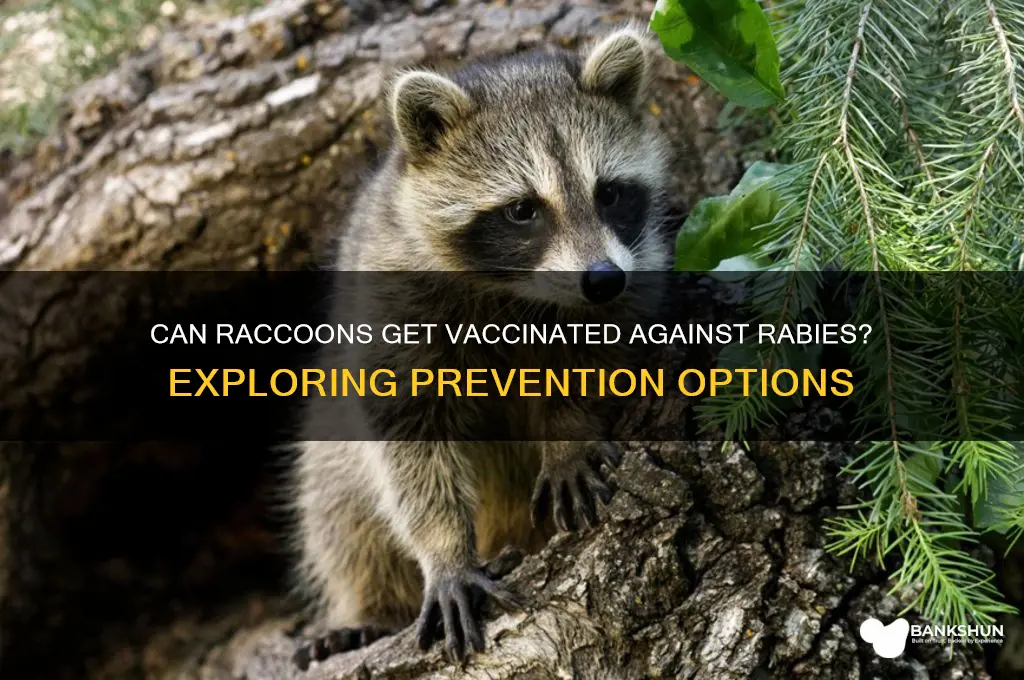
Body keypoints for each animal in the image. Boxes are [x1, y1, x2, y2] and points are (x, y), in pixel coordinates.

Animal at [292, 25, 673, 668]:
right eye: (523, 210)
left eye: (609, 194)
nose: (601, 279)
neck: (518, 292)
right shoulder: (393, 301)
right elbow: (408, 437)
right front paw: (446, 551)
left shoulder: (636, 271)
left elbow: (597, 358)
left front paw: (567, 435)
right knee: (337, 503)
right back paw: (367, 606)